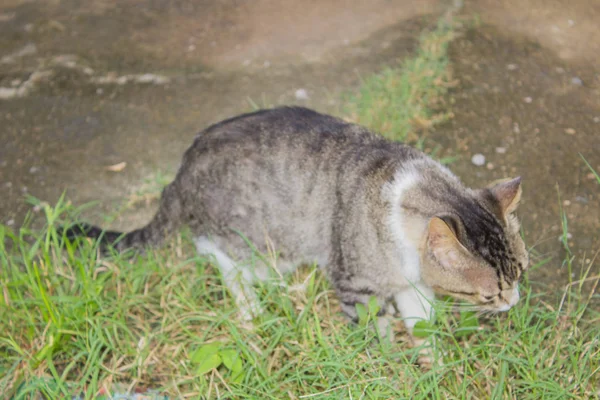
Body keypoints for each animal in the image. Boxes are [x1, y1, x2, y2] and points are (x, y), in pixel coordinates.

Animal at [63, 107, 528, 362]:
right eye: (490, 294)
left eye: (520, 274)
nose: (514, 303)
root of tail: (180, 172)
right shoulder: (355, 283)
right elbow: (372, 331)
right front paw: (389, 363)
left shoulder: (411, 284)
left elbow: (422, 323)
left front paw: (434, 360)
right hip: (252, 239)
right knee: (216, 253)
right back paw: (252, 304)